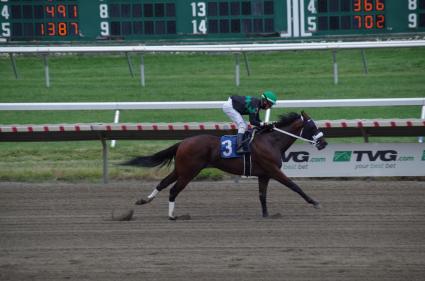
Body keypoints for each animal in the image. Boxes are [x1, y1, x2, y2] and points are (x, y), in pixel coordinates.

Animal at [122, 110, 328, 220]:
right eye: (312, 126)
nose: (324, 143)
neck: (272, 141)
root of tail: (183, 142)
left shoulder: (264, 175)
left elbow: (262, 195)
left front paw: (266, 214)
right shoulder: (273, 170)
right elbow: (294, 185)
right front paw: (315, 203)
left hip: (181, 169)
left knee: (163, 183)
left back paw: (144, 200)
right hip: (189, 172)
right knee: (173, 190)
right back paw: (172, 216)